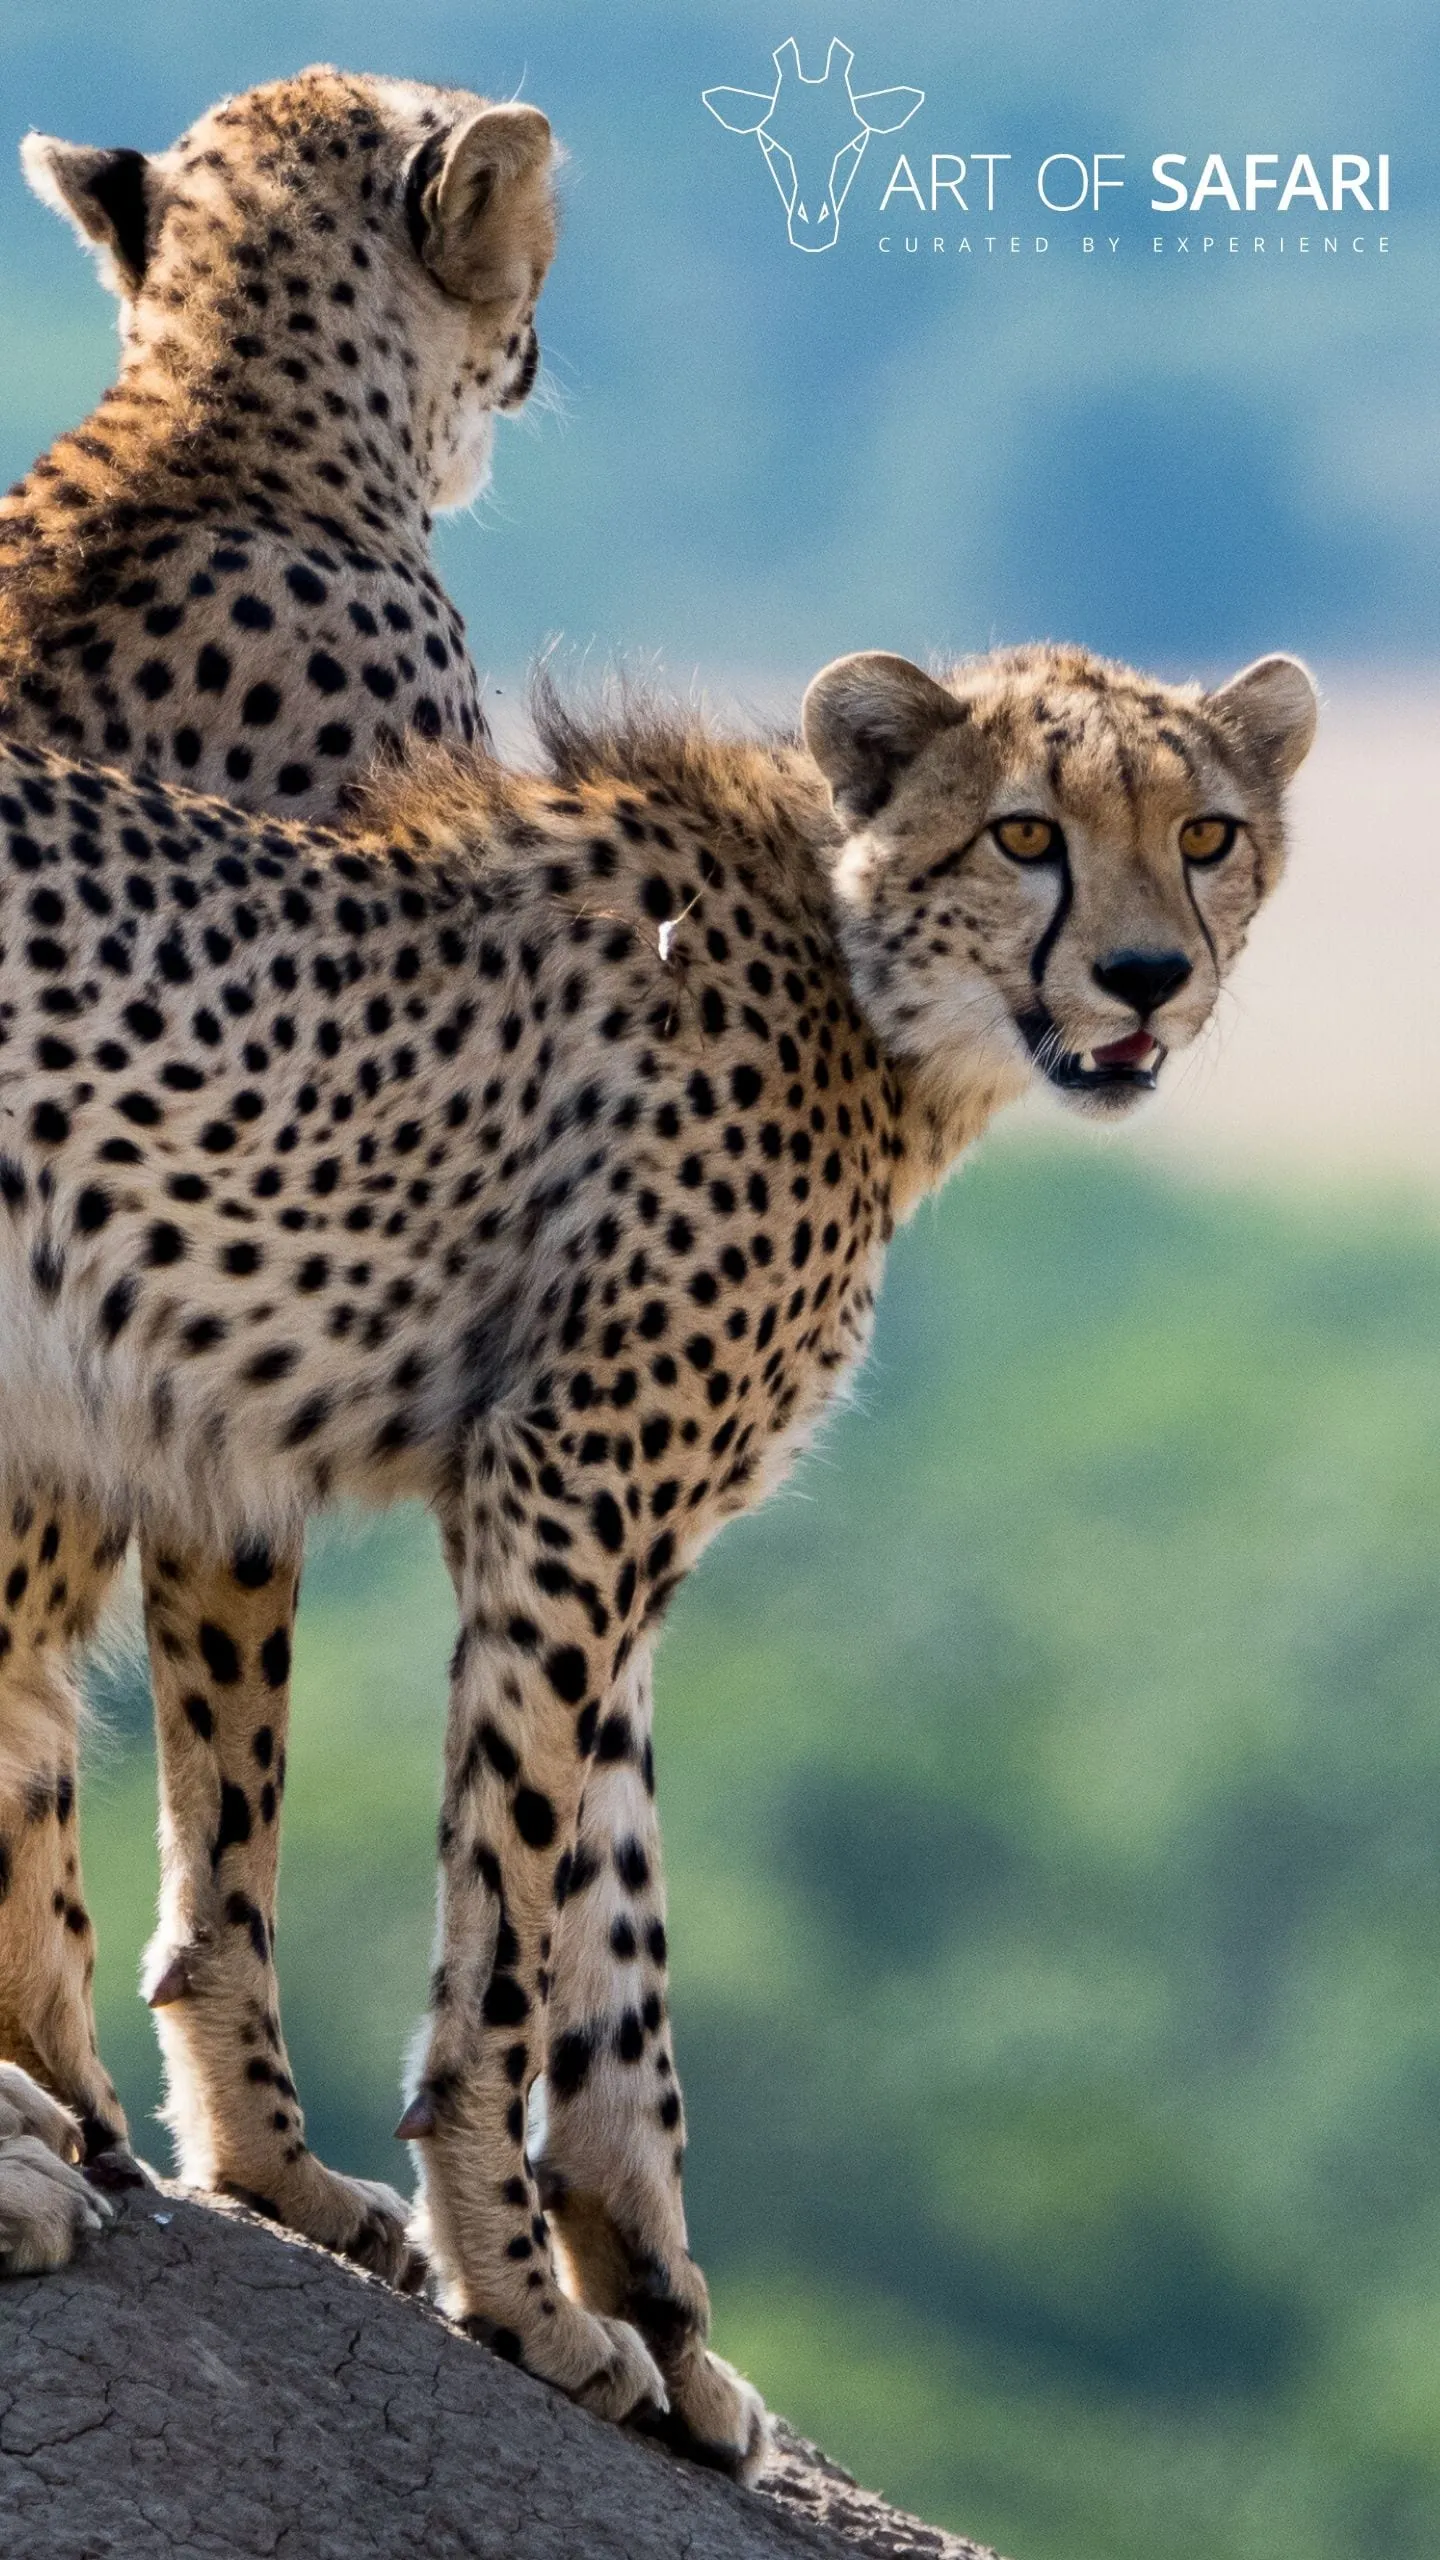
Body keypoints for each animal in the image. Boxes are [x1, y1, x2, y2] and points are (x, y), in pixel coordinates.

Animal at [0, 633, 1315, 2472]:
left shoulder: (596, 1521)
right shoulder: (576, 1480)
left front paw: (657, 2310)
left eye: (1204, 834)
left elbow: (615, 1927)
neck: (861, 987)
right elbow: (509, 1935)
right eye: (1026, 835)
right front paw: (521, 2300)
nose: (1143, 978)